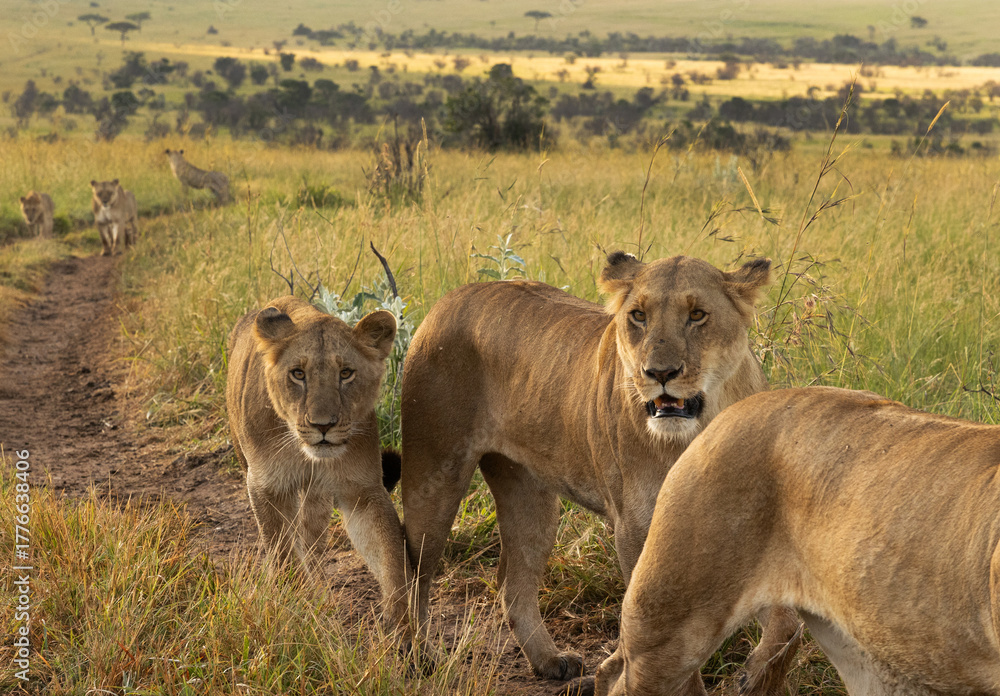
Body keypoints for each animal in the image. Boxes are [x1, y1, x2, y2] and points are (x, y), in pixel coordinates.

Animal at [226, 295, 410, 634]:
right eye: (298, 374)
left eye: (346, 373)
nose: (322, 425)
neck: (303, 452)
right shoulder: (266, 486)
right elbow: (283, 553)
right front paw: (296, 611)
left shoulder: (362, 490)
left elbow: (390, 557)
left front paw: (405, 628)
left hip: (317, 497)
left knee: (312, 545)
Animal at [400, 252, 800, 687]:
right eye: (638, 315)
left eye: (697, 315)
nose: (660, 374)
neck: (697, 432)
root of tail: (449, 298)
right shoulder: (635, 528)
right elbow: (666, 644)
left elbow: (788, 625)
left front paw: (756, 677)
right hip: (434, 475)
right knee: (412, 570)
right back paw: (417, 656)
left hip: (529, 496)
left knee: (513, 582)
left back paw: (549, 661)